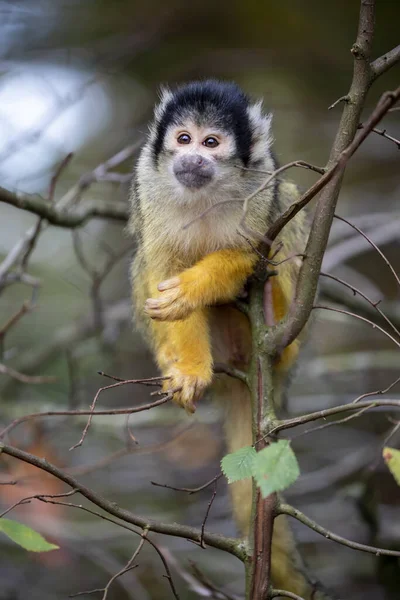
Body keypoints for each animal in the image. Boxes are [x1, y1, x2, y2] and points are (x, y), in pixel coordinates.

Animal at [128, 82, 316, 596]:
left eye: (211, 143)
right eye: (184, 138)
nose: (192, 158)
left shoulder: (264, 182)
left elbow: (252, 250)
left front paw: (196, 285)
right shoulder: (148, 183)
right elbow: (161, 269)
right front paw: (191, 370)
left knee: (288, 222)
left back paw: (275, 313)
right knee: (144, 263)